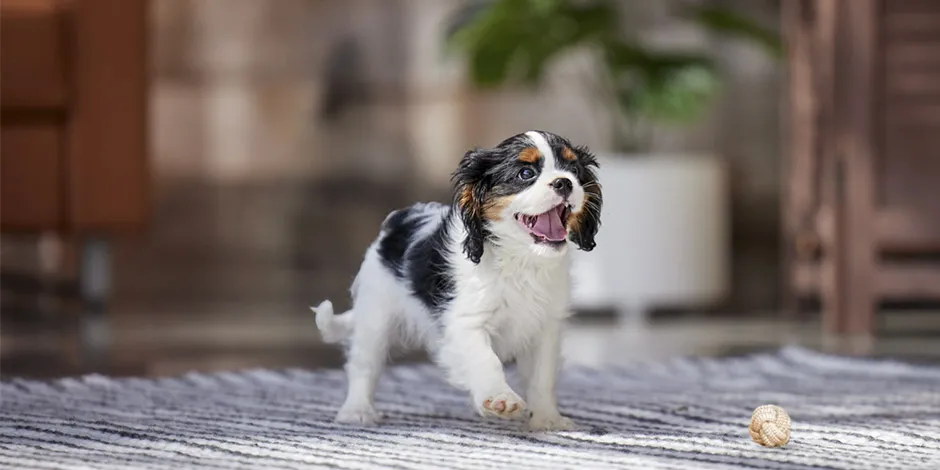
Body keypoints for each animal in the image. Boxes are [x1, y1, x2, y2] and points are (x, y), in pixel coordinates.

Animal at [308, 130, 604, 432]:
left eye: (573, 170)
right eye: (526, 173)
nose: (564, 182)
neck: (520, 258)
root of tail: (392, 226)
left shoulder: (545, 329)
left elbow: (542, 377)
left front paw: (546, 419)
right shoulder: (466, 322)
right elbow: (486, 358)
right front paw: (500, 398)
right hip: (375, 314)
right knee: (364, 364)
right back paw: (357, 410)